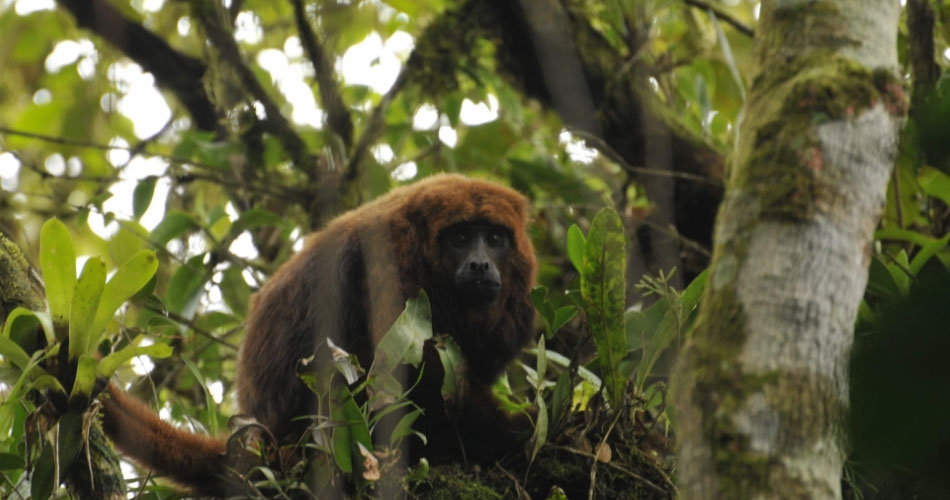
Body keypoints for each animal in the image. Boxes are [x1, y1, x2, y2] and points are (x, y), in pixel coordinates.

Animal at [103, 174, 540, 494]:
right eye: (461, 238)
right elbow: (413, 375)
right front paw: (519, 432)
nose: (480, 264)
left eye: (495, 238)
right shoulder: (393, 264)